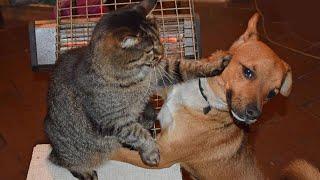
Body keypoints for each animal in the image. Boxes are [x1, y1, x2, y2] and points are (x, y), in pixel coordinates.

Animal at [43, 0, 231, 179]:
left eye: (160, 39)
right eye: (149, 50)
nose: (162, 53)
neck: (136, 76)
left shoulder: (161, 71)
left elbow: (187, 66)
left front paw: (214, 65)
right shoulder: (114, 120)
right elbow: (138, 133)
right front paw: (151, 151)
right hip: (75, 151)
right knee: (64, 161)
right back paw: (84, 171)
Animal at [110, 13, 320, 179]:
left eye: (272, 93)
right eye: (248, 72)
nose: (254, 114)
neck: (203, 97)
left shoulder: (163, 155)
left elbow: (118, 152)